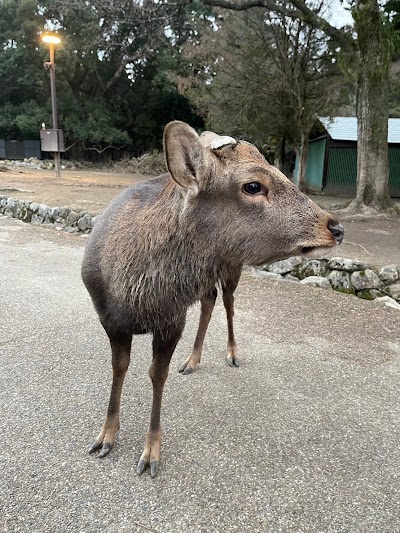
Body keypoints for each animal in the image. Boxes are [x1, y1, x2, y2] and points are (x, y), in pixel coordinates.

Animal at [81, 121, 344, 478]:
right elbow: (118, 368)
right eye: (253, 185)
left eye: (281, 171)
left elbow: (156, 375)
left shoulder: (172, 320)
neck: (135, 293)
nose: (335, 226)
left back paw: (231, 353)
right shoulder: (109, 319)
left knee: (228, 302)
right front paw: (105, 437)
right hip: (209, 277)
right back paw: (192, 360)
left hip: (233, 266)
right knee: (210, 299)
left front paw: (151, 454)